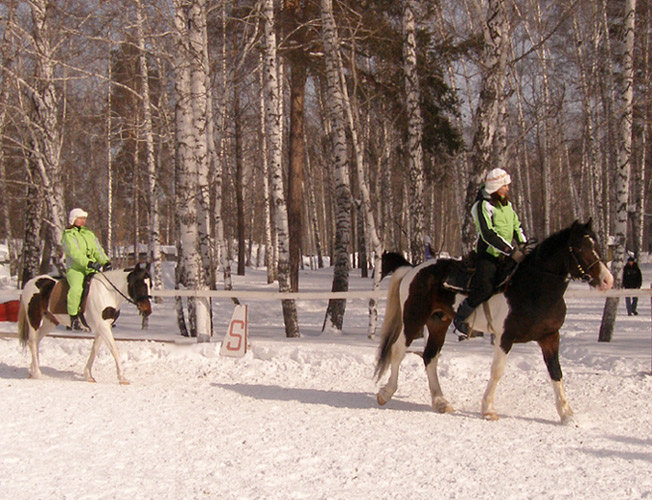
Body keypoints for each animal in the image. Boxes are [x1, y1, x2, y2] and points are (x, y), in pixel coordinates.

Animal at [17, 264, 152, 384]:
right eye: (140, 284)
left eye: (150, 284)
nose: (147, 310)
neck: (108, 293)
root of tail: (31, 282)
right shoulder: (103, 327)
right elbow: (114, 349)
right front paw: (122, 378)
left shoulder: (103, 327)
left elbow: (94, 349)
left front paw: (88, 375)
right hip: (34, 318)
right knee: (32, 342)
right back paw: (37, 373)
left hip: (50, 321)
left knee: (37, 341)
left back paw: (32, 370)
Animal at [374, 219, 612, 422]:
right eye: (579, 248)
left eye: (597, 244)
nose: (607, 280)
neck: (535, 287)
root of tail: (413, 269)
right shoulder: (505, 337)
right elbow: (497, 371)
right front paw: (488, 409)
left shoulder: (550, 337)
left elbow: (556, 372)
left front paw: (566, 413)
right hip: (413, 319)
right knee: (397, 350)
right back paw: (386, 393)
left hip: (438, 323)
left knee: (430, 357)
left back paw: (441, 402)